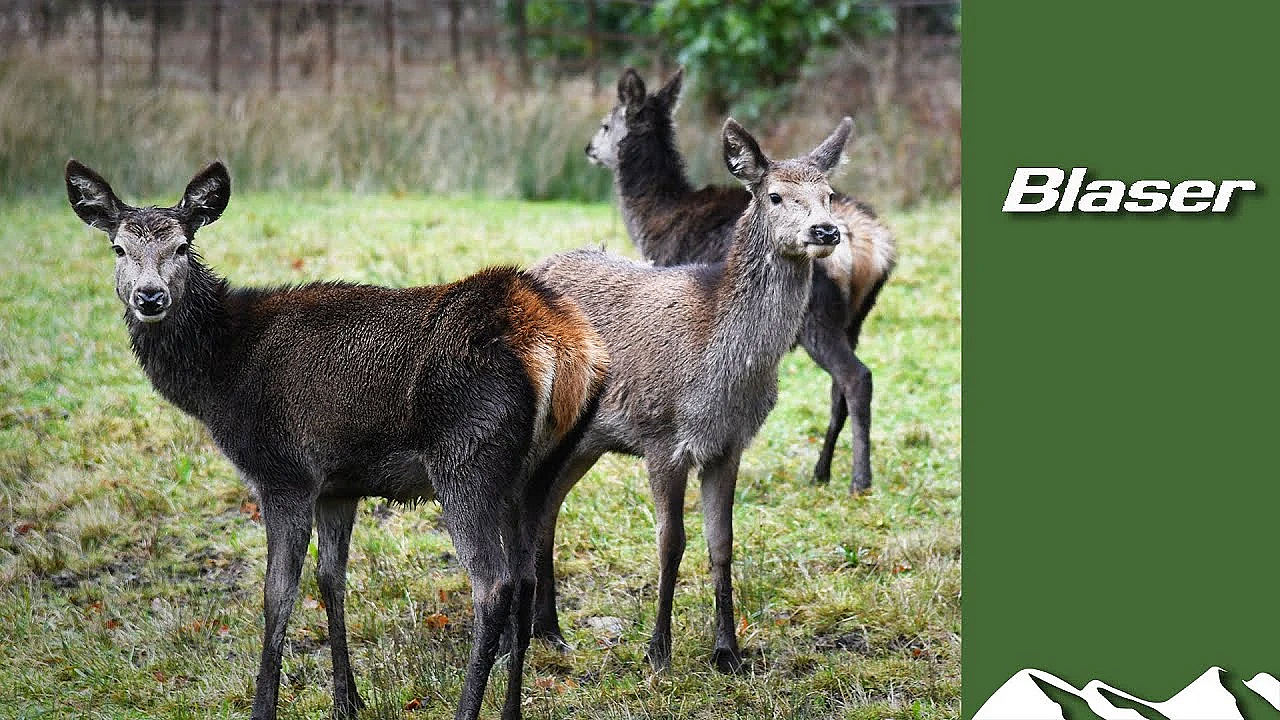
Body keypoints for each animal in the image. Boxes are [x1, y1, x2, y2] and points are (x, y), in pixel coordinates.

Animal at [65, 159, 609, 720]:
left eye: (181, 245)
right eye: (118, 248)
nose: (149, 296)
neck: (221, 378)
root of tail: (557, 345)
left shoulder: (283, 473)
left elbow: (277, 593)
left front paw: (264, 706)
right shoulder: (338, 485)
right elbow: (332, 579)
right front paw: (347, 698)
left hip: (467, 461)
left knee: (493, 584)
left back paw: (466, 709)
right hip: (535, 471)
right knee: (524, 578)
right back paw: (510, 711)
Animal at [528, 117, 853, 674]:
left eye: (829, 195)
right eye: (774, 195)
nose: (825, 231)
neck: (717, 377)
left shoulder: (728, 445)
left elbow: (721, 543)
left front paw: (728, 651)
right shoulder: (662, 439)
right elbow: (670, 543)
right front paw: (658, 650)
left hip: (587, 442)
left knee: (547, 508)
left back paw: (550, 631)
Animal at [586, 68, 897, 495]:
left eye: (605, 124)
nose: (588, 148)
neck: (654, 222)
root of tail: (871, 247)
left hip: (818, 318)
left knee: (855, 377)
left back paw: (859, 479)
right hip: (857, 319)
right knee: (839, 389)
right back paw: (821, 471)